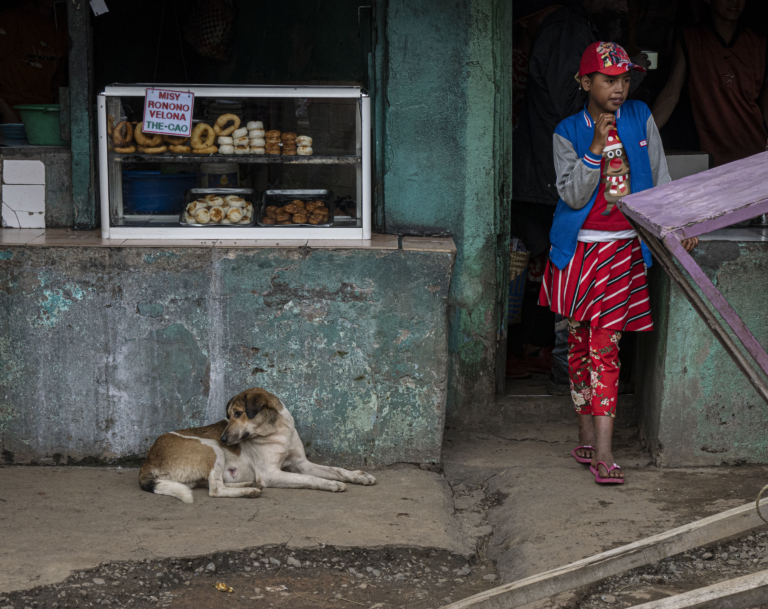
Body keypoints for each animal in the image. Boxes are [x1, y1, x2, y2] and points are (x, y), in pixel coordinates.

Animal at [138, 387, 376, 503]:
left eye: (237, 413)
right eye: (229, 416)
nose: (224, 439)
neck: (278, 432)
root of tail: (147, 461)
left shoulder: (301, 463)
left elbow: (336, 469)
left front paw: (359, 476)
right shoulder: (271, 473)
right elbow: (309, 479)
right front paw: (330, 484)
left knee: (215, 484)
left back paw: (249, 485)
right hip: (210, 447)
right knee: (215, 489)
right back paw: (249, 491)